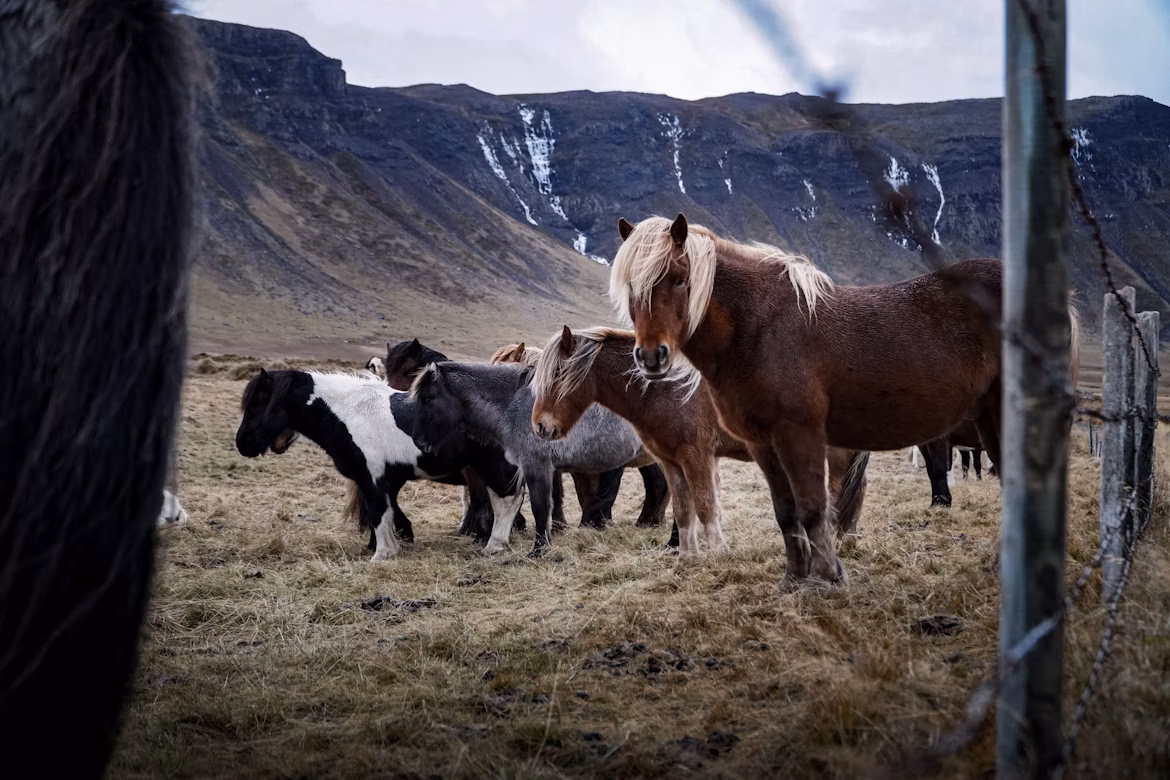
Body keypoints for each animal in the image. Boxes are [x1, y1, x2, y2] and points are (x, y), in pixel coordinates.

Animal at [235, 368, 525, 560]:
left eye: (260, 402)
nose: (243, 444)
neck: (350, 414)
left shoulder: (372, 477)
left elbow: (377, 511)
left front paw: (383, 553)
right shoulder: (386, 479)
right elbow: (386, 511)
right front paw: (382, 545)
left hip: (492, 466)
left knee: (507, 501)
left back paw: (495, 545)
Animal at [408, 361, 659, 556]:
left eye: (429, 398)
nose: (419, 442)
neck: (515, 404)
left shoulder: (536, 466)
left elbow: (540, 508)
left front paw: (539, 550)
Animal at [529, 326, 871, 556]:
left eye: (559, 373)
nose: (540, 426)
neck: (666, 389)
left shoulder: (696, 456)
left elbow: (705, 506)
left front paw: (719, 553)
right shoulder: (671, 461)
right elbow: (684, 509)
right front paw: (686, 556)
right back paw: (847, 540)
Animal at [610, 214, 1018, 590]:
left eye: (680, 279)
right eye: (631, 286)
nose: (651, 358)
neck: (761, 329)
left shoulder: (799, 435)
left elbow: (811, 508)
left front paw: (826, 580)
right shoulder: (763, 443)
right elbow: (786, 512)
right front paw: (793, 578)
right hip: (987, 416)